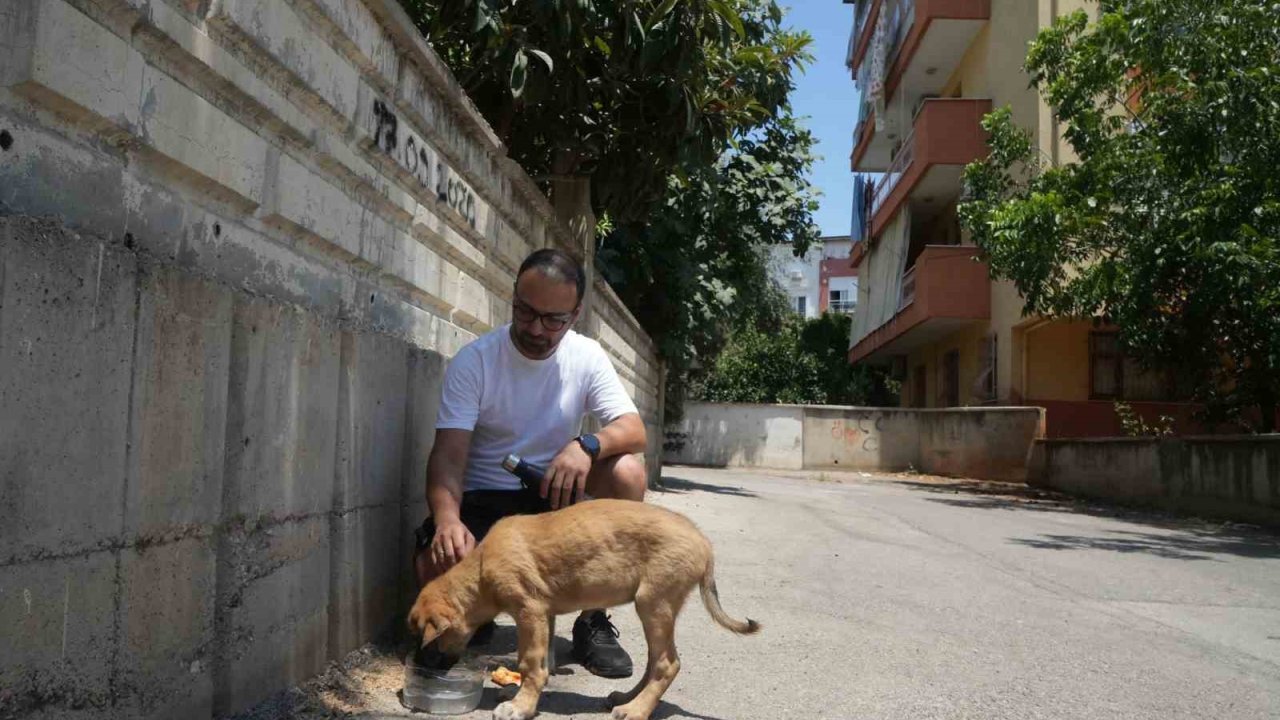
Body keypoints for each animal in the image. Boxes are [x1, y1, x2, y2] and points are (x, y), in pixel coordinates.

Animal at [404, 497, 752, 717]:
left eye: (425, 638)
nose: (421, 667)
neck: (480, 570)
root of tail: (704, 543)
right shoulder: (544, 615)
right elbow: (542, 662)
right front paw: (521, 695)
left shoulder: (529, 611)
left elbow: (530, 663)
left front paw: (521, 707)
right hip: (655, 610)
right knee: (656, 662)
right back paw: (627, 698)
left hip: (654, 603)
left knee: (667, 664)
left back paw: (636, 710)